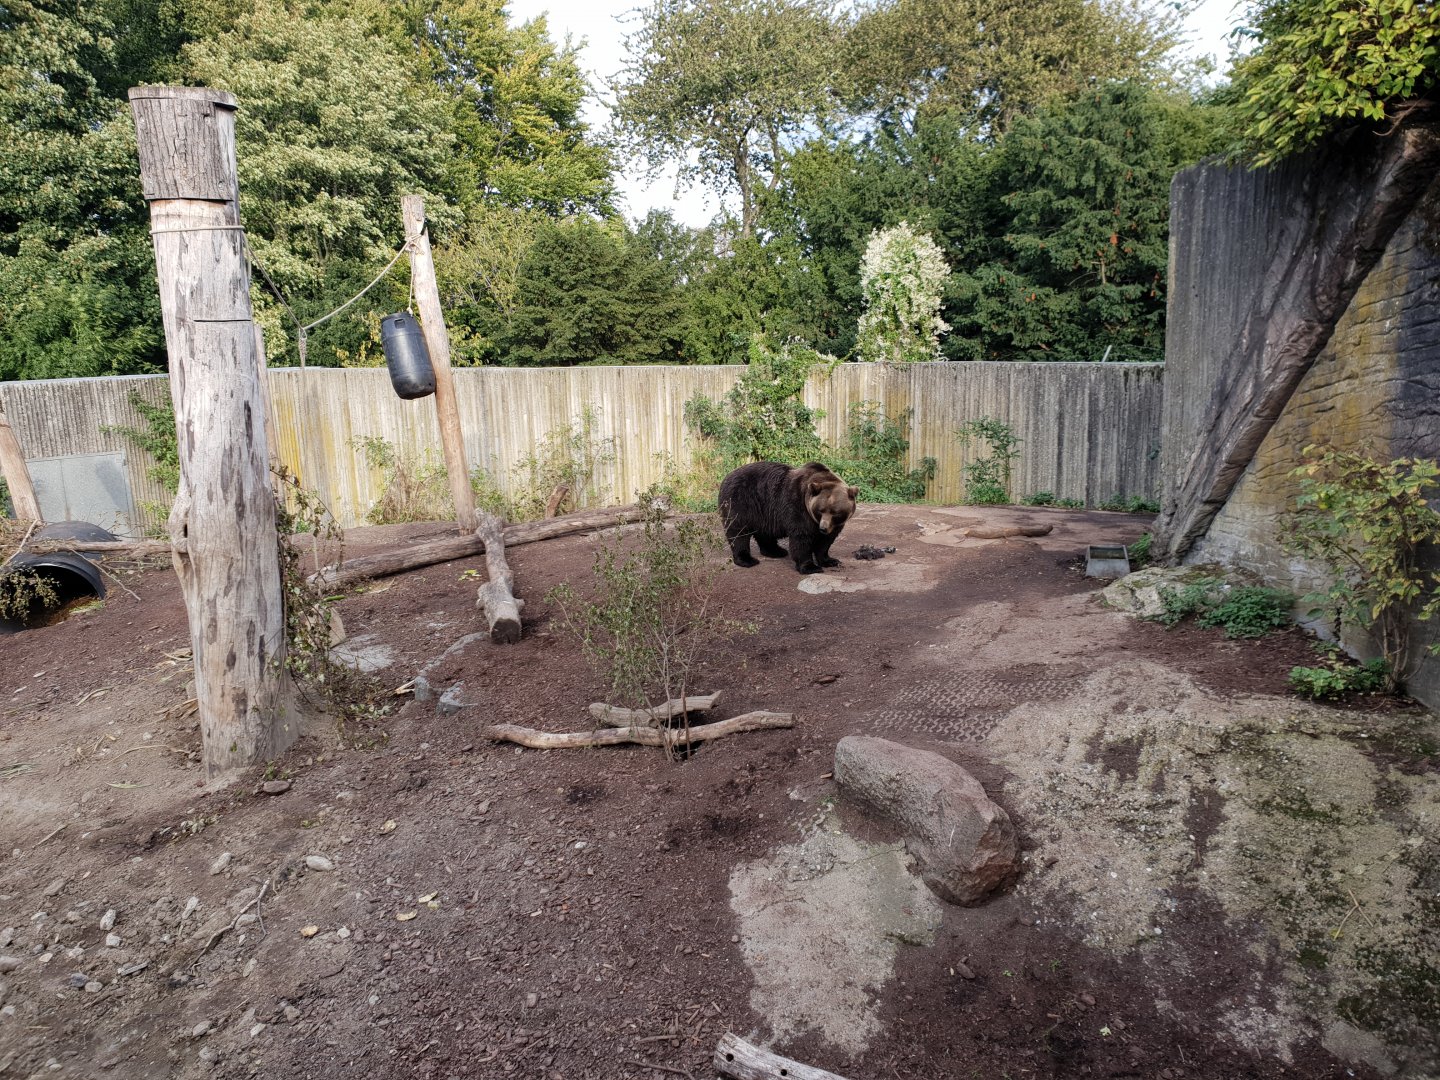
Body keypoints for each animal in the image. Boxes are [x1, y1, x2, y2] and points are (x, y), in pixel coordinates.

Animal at [718, 461, 859, 575]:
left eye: (835, 513)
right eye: (820, 510)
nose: (823, 528)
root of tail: (726, 477)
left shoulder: (834, 525)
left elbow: (825, 542)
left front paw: (830, 560)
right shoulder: (797, 506)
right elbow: (801, 538)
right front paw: (810, 567)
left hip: (764, 512)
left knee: (764, 532)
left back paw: (776, 551)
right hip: (740, 501)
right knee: (739, 531)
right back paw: (747, 559)